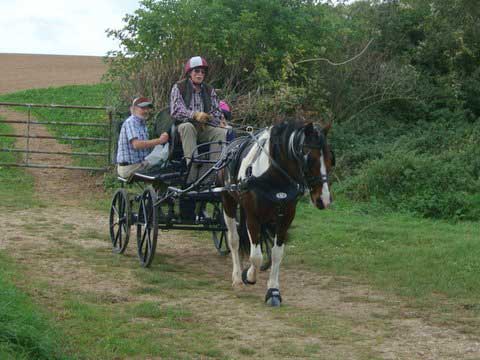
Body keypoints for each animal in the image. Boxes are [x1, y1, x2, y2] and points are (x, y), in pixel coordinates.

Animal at [218, 119, 334, 306]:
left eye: (331, 158)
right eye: (310, 159)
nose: (324, 199)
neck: (273, 176)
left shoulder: (286, 217)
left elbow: (276, 254)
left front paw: (273, 291)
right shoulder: (253, 216)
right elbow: (256, 256)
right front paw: (248, 276)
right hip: (227, 201)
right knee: (234, 240)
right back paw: (236, 278)